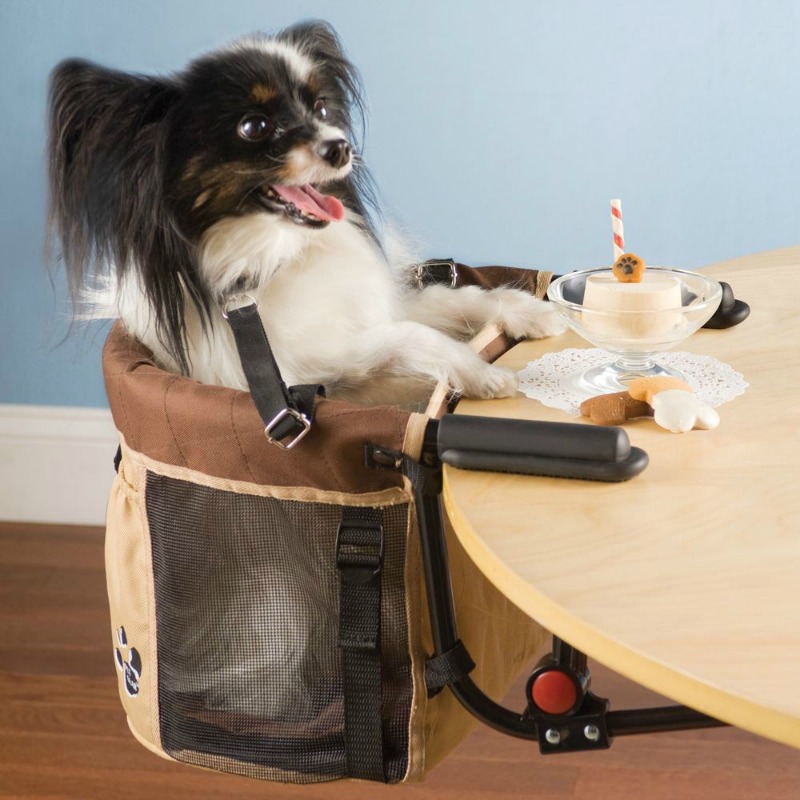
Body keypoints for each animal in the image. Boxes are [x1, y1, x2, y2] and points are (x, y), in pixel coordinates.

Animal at [48, 20, 564, 412]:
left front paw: (534, 312)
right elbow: (409, 336)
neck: (280, 254)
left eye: (321, 110)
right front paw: (479, 373)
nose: (342, 147)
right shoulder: (315, 371)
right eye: (254, 126)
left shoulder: (371, 306)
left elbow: (456, 298)